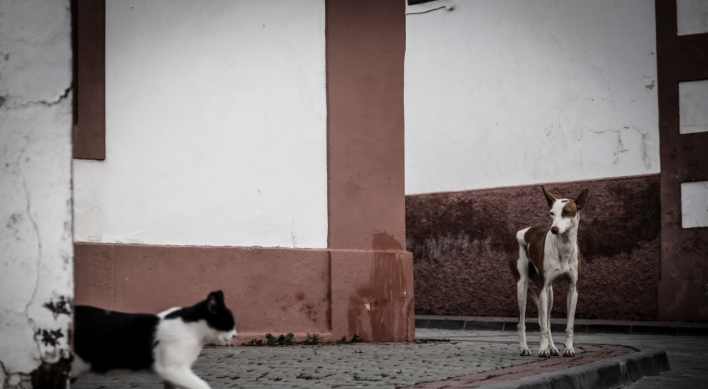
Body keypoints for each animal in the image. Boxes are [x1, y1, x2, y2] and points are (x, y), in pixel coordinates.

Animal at [71, 290, 238, 386]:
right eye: (229, 323)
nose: (235, 335)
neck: (193, 328)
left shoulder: (171, 375)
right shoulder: (173, 369)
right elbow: (202, 385)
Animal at [508, 186, 588, 356]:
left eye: (567, 212)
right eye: (552, 213)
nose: (554, 229)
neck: (563, 247)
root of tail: (522, 231)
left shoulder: (572, 289)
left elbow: (568, 325)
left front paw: (568, 348)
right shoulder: (543, 289)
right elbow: (543, 327)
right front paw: (543, 349)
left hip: (550, 293)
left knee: (547, 321)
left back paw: (553, 347)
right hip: (523, 286)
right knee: (521, 322)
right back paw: (525, 348)